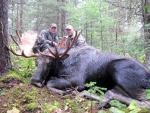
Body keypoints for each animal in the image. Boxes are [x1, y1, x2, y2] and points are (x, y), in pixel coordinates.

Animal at [5, 30, 150, 108]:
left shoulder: (77, 80)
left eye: (50, 62)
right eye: (36, 61)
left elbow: (49, 83)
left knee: (142, 102)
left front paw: (66, 91)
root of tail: (147, 74)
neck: (62, 64)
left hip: (121, 72)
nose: (35, 81)